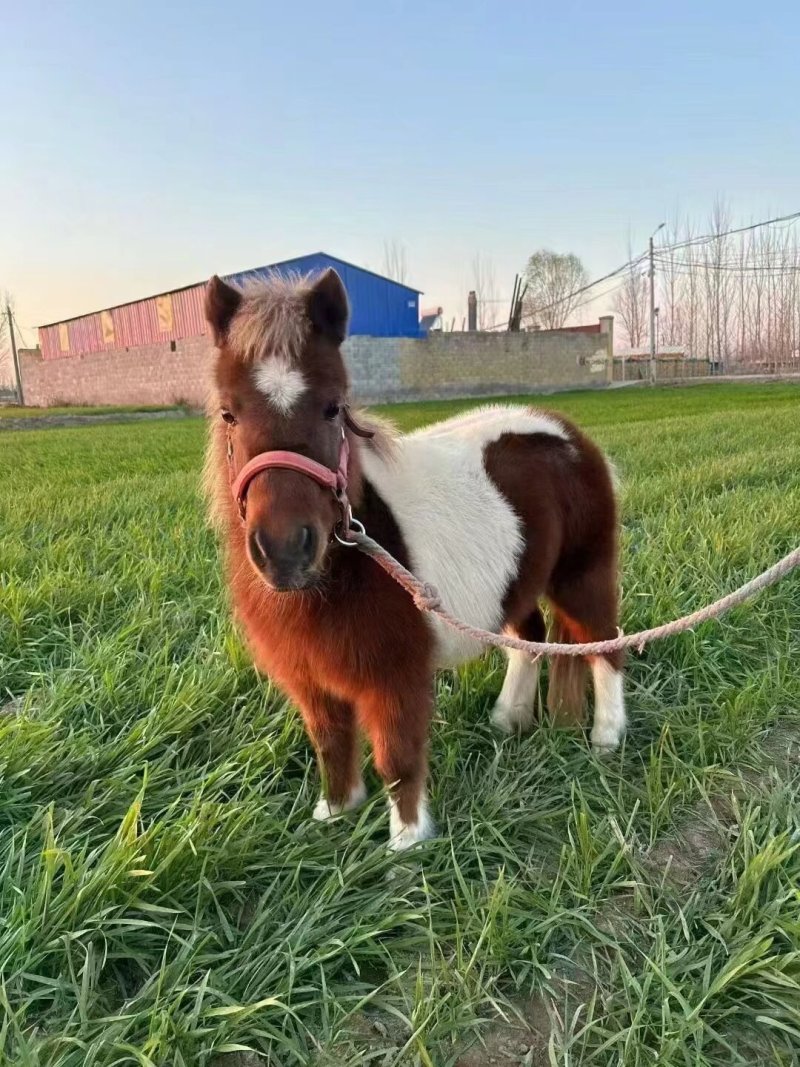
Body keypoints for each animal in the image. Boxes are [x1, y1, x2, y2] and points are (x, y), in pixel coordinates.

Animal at [203, 269, 625, 851]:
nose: (285, 550)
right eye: (229, 412)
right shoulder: (311, 681)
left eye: (333, 407)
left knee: (603, 645)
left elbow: (397, 758)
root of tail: (569, 434)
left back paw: (607, 738)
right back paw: (508, 719)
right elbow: (331, 744)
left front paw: (406, 844)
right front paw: (336, 812)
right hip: (516, 584)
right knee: (530, 638)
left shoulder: (395, 677)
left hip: (584, 575)